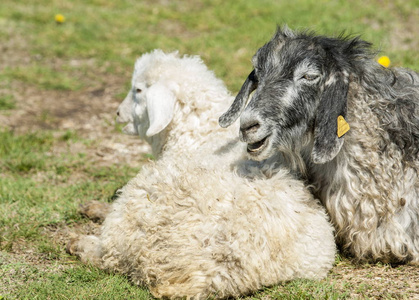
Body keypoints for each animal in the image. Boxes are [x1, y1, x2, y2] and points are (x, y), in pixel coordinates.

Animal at [67, 50, 336, 298]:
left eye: (138, 90)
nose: (117, 113)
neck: (199, 135)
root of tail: (208, 273)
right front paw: (92, 206)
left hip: (138, 210)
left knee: (109, 254)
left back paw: (80, 244)